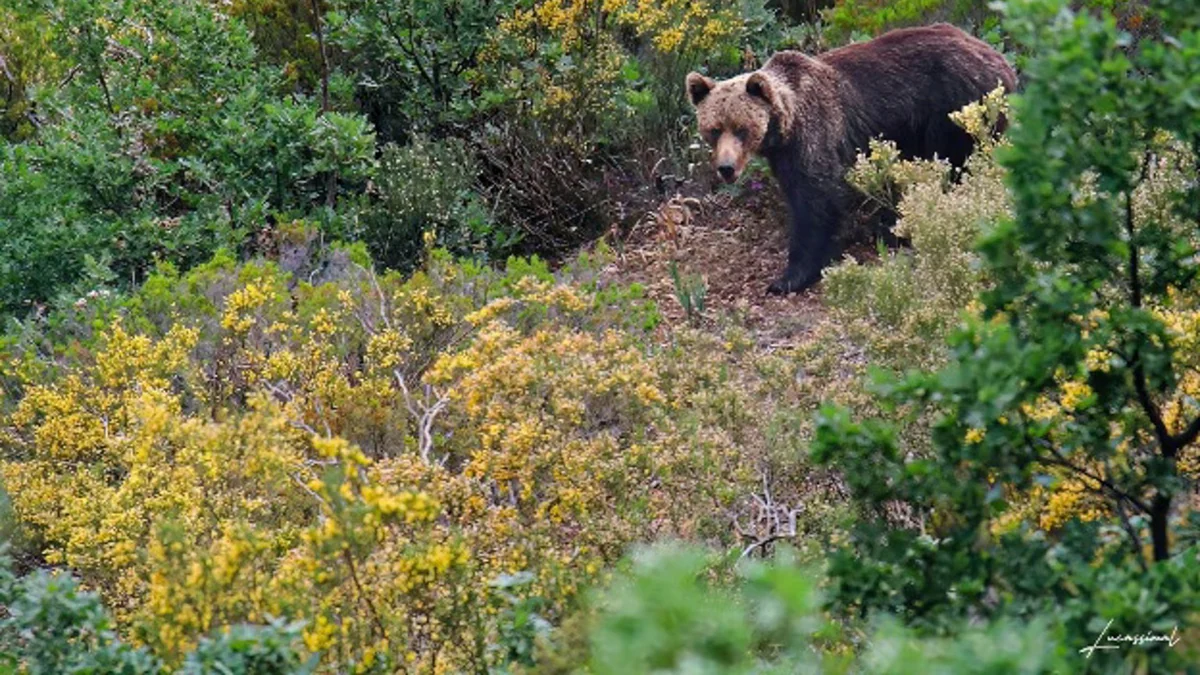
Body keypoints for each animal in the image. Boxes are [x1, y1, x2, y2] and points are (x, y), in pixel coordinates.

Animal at [686, 23, 1017, 294]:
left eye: (742, 128)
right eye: (714, 129)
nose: (726, 168)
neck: (785, 127)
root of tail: (1004, 64)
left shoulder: (815, 135)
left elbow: (816, 201)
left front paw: (789, 277)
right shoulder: (783, 155)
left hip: (954, 109)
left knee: (955, 164)